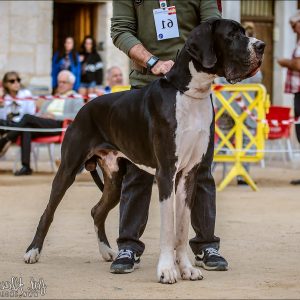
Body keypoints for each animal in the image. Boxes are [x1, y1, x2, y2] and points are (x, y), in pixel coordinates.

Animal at [24, 18, 264, 284]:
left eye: (243, 32)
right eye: (232, 35)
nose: (261, 46)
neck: (189, 93)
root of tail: (84, 107)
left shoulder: (189, 173)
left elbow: (182, 227)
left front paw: (187, 268)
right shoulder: (166, 172)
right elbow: (169, 228)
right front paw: (167, 270)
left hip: (114, 180)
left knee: (97, 211)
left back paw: (108, 251)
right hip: (68, 169)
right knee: (49, 212)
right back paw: (33, 251)